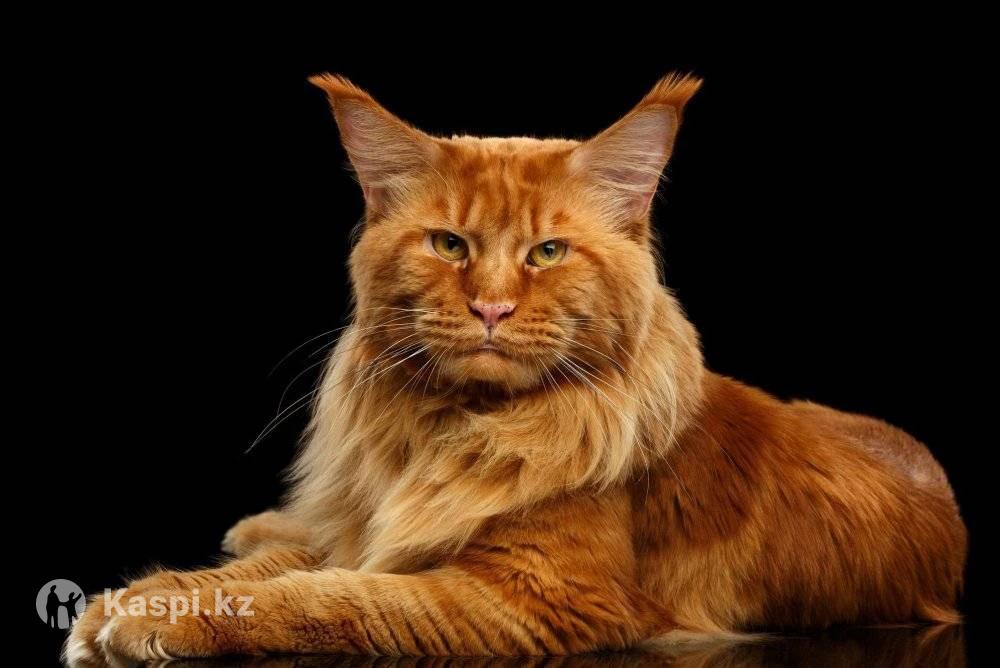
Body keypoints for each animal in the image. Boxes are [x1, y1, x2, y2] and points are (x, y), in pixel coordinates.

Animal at [65, 73, 966, 663]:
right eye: (449, 244)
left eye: (547, 253)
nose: (492, 308)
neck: (448, 427)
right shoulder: (377, 528)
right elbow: (292, 563)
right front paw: (136, 597)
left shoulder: (531, 597)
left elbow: (335, 595)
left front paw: (166, 617)